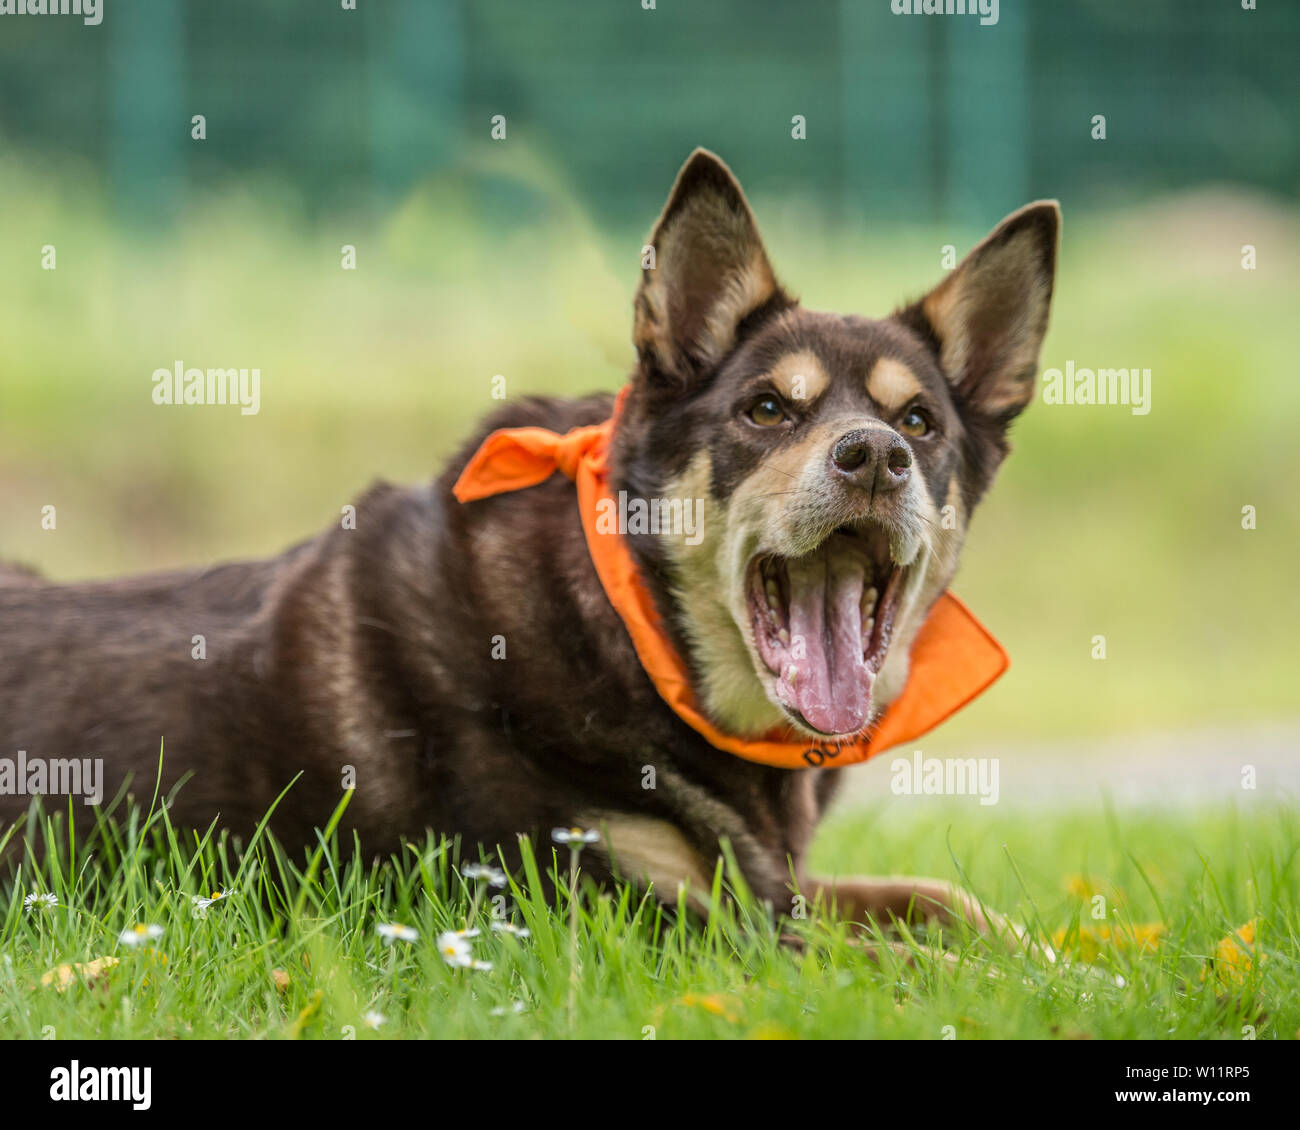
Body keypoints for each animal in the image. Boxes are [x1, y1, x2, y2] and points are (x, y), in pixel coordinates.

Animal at [0, 147, 1055, 941]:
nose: (874, 456)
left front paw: (1059, 960)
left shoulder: (768, 890)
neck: (631, 632)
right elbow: (898, 957)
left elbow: (947, 906)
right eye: (765, 410)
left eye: (918, 422)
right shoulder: (646, 921)